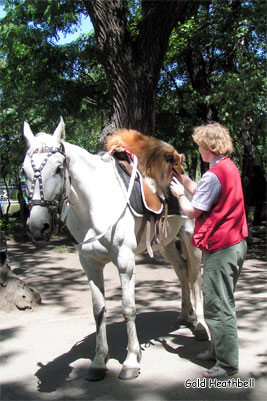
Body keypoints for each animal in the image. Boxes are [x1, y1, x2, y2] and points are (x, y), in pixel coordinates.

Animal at [22, 117, 208, 380]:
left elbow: (128, 308)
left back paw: (200, 325)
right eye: (24, 171)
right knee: (182, 272)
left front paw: (131, 361)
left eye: (58, 168)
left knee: (195, 277)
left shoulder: (125, 261)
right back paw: (184, 316)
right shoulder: (89, 263)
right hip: (167, 243)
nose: (38, 227)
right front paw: (99, 361)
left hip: (191, 239)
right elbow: (98, 310)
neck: (96, 201)